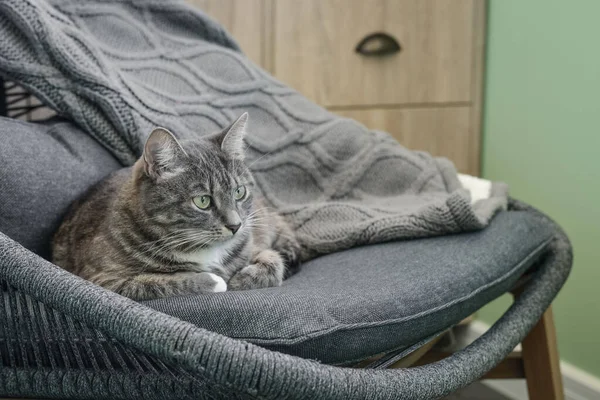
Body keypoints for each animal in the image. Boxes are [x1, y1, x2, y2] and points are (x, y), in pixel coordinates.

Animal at [52, 113, 300, 300]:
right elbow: (157, 283)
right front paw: (214, 280)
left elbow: (273, 261)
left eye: (239, 192)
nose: (236, 225)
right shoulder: (103, 280)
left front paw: (242, 278)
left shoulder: (254, 245)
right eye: (202, 201)